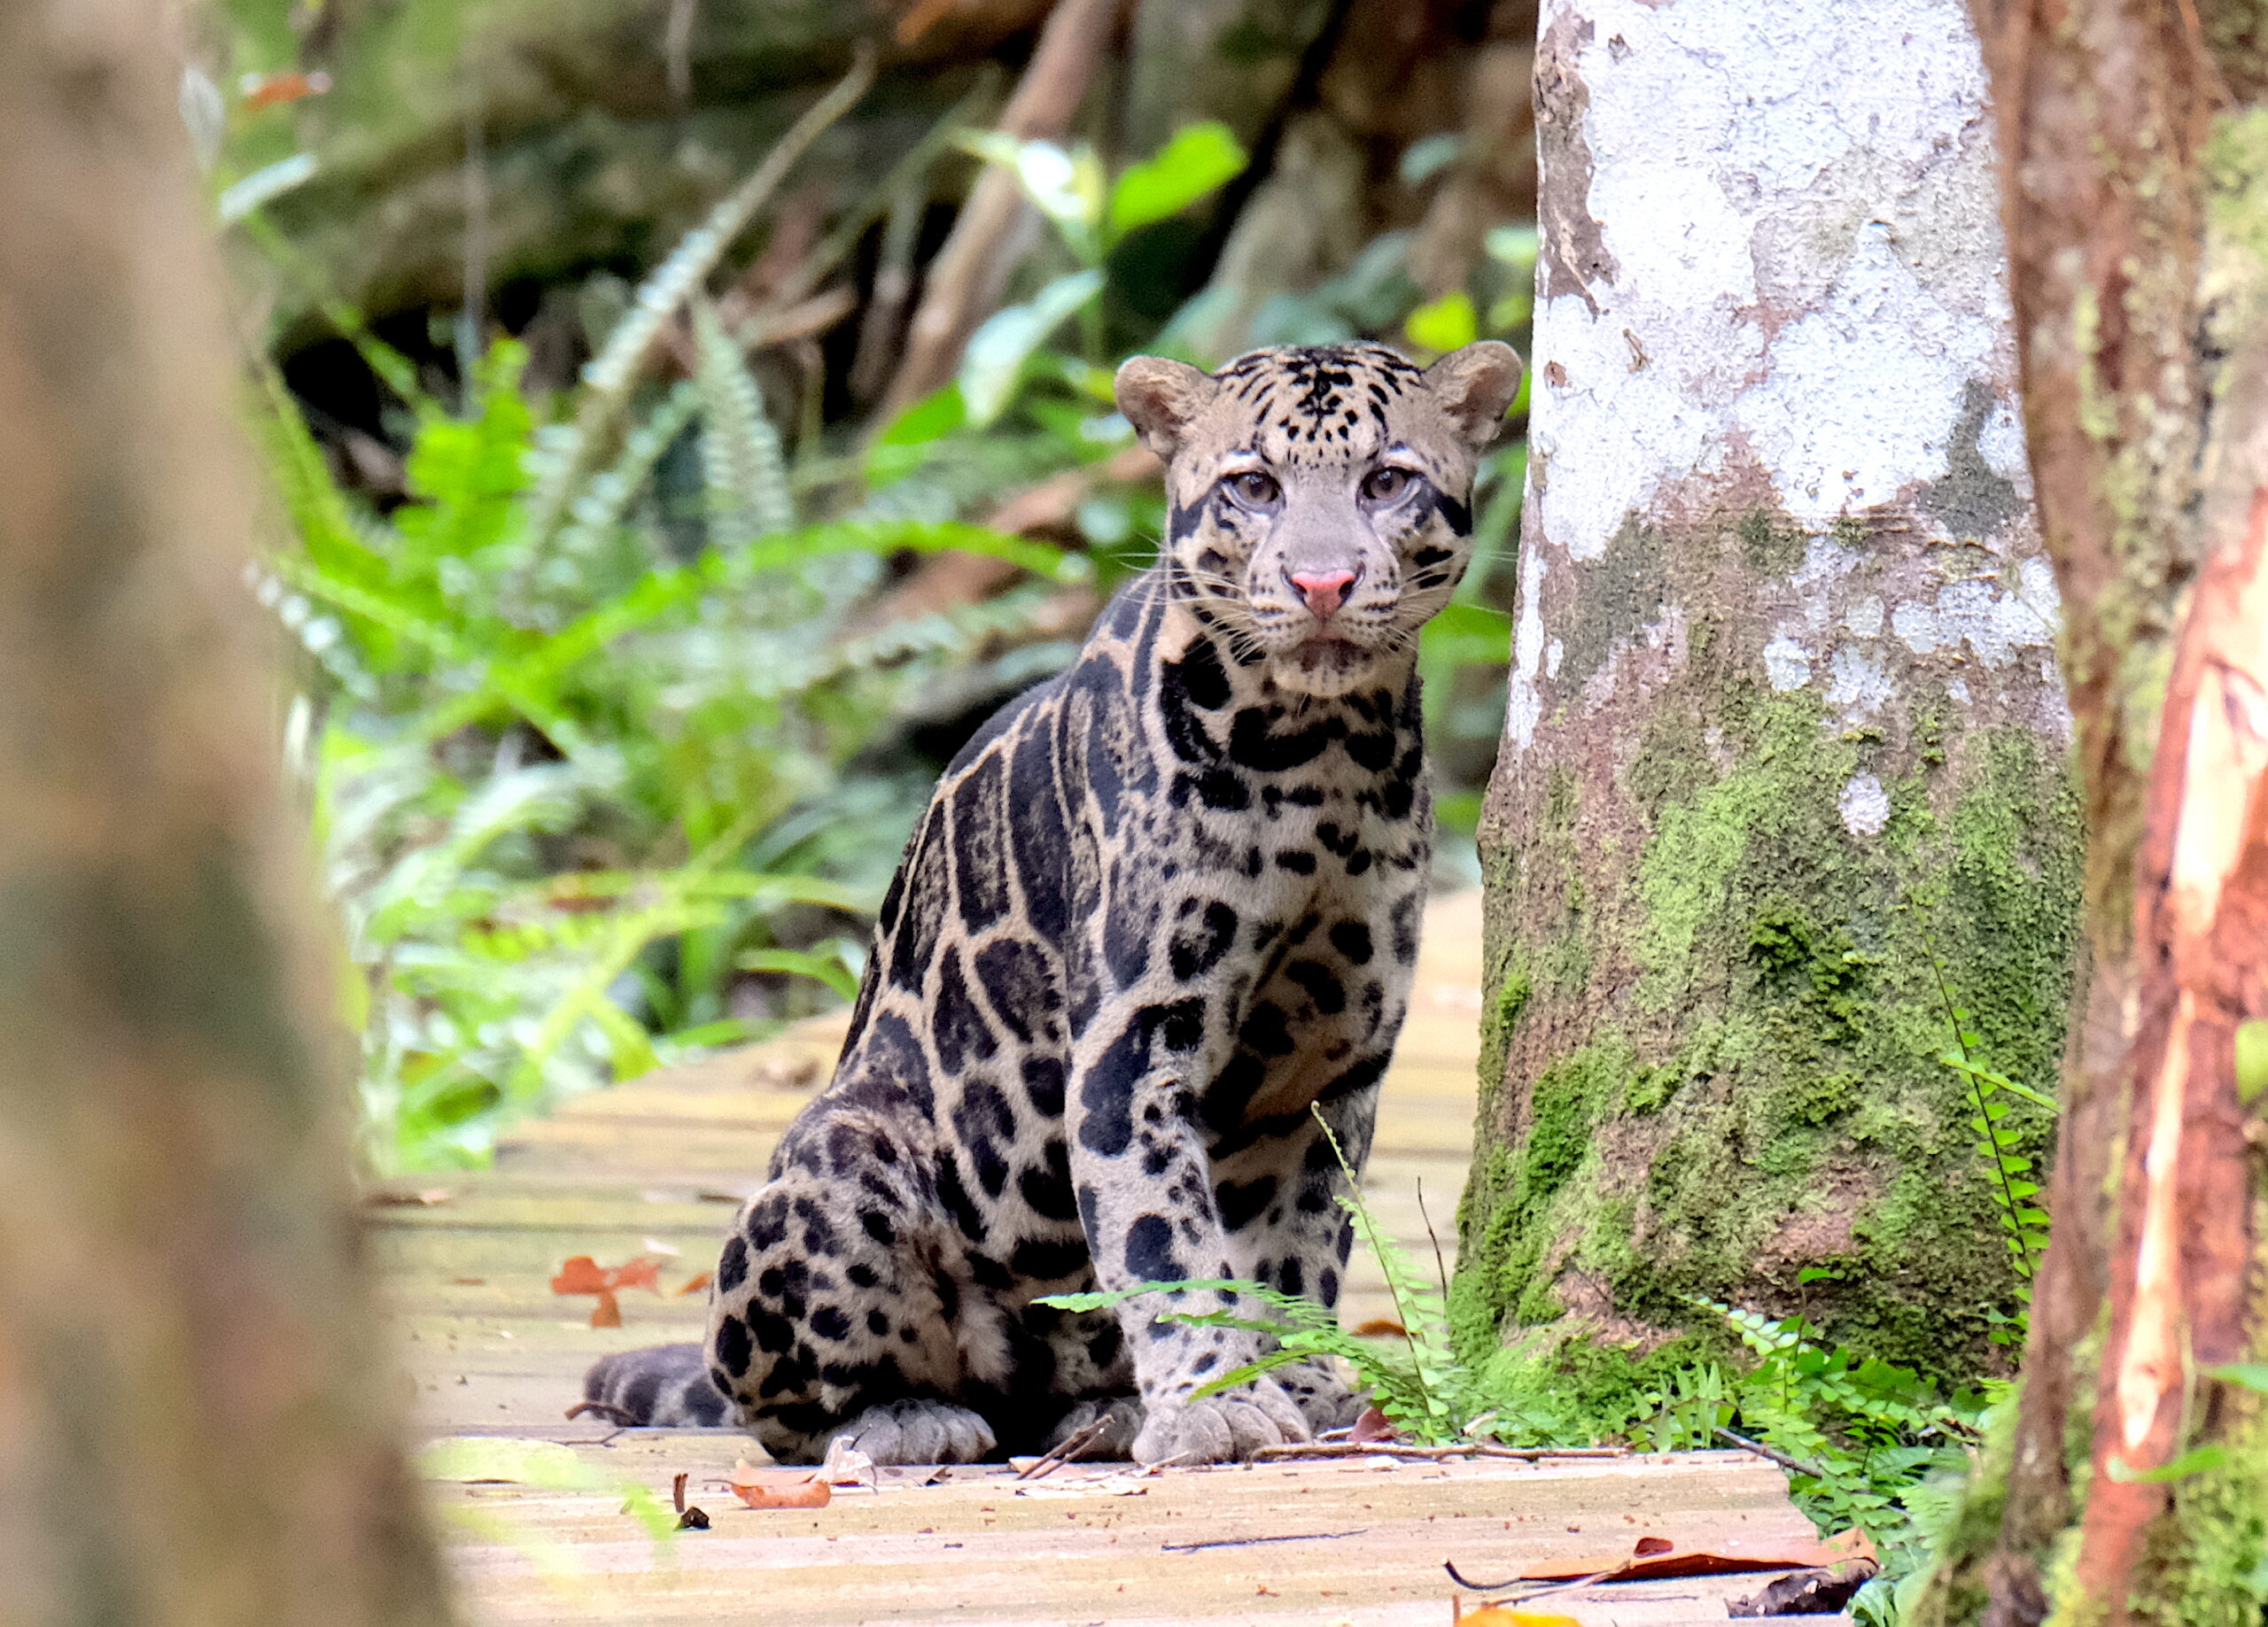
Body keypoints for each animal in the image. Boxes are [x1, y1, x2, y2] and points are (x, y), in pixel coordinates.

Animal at [582, 338, 1523, 1467]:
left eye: (1386, 482)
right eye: (1253, 486)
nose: (1322, 581)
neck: (1321, 755)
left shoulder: (1325, 1063)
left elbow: (1296, 1246)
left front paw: (1293, 1373)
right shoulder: (1133, 1035)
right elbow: (1165, 1235)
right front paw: (1212, 1401)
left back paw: (1102, 1409)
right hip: (845, 1152)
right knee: (783, 1409)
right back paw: (906, 1416)